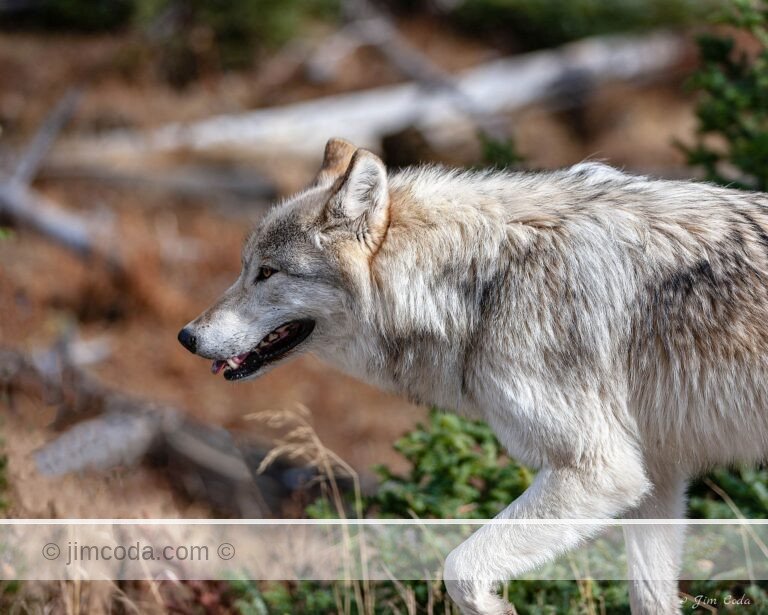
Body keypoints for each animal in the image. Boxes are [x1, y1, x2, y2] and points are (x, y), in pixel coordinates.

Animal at [178, 138, 768, 614]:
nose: (186, 336)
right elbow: (649, 595)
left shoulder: (602, 471)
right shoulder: (656, 475)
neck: (482, 284)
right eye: (244, 268)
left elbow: (459, 568)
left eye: (267, 273)